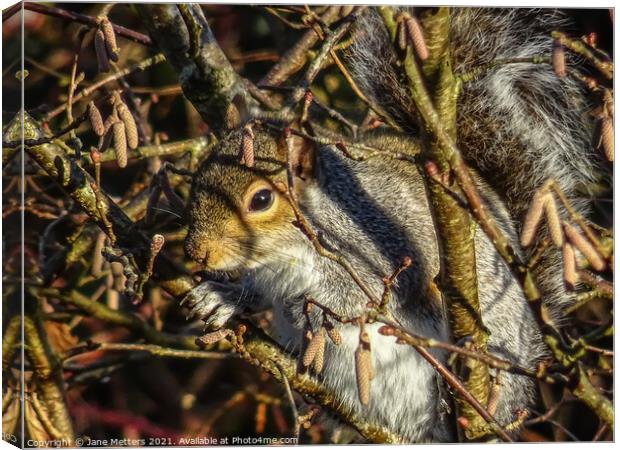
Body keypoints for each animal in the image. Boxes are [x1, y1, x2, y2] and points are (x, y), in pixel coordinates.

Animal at [182, 7, 604, 442]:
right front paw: (222, 296)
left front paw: (306, 309)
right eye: (198, 175)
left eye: (261, 199)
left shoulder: (379, 249)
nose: (196, 251)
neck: (285, 256)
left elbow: (360, 298)